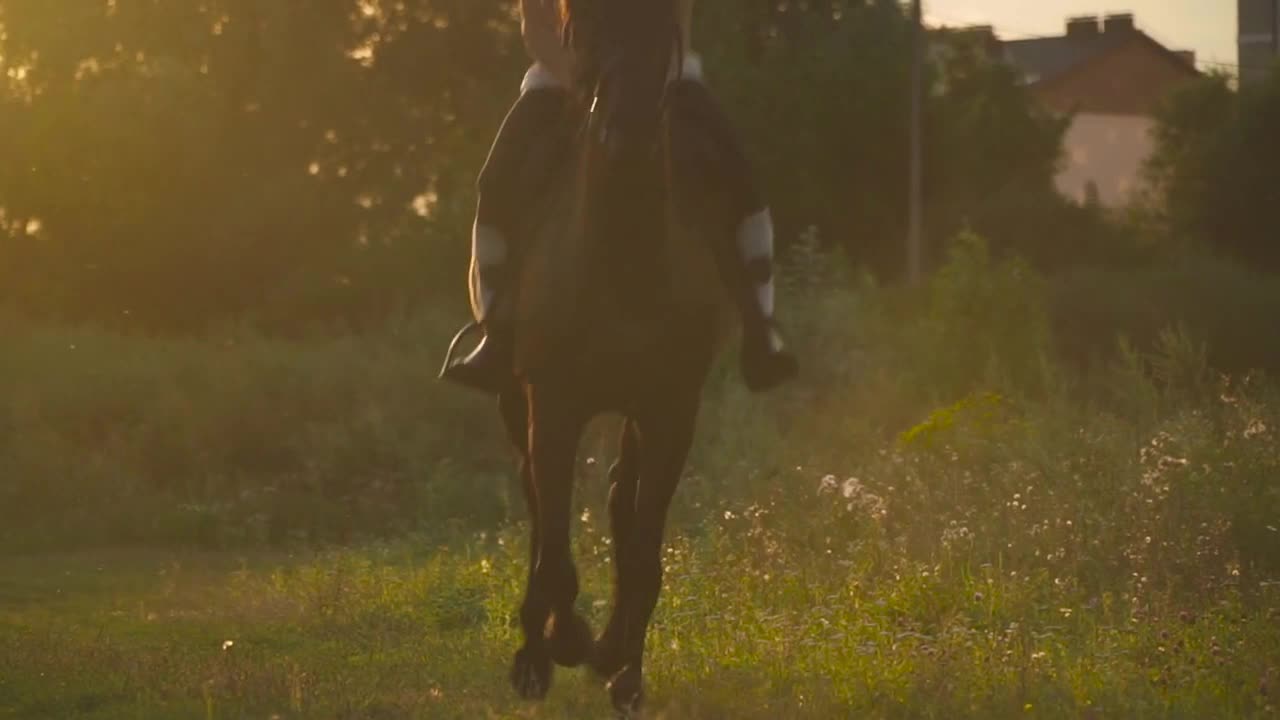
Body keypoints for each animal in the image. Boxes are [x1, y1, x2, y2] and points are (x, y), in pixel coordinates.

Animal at [494, 0, 747, 707]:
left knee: (618, 497)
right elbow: (554, 544)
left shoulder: (671, 410)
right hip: (516, 401)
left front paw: (618, 662)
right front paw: (562, 642)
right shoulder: (552, 405)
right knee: (537, 504)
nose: (627, 134)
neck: (623, 255)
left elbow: (640, 548)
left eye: (664, 27)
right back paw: (538, 653)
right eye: (584, 24)